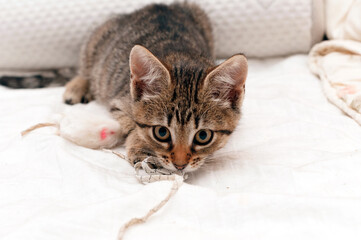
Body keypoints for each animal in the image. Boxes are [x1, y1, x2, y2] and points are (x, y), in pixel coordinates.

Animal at [63, 3, 246, 172]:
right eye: (162, 132)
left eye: (203, 135)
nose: (180, 165)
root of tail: (161, 6)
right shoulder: (119, 104)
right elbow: (133, 126)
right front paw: (140, 146)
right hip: (96, 45)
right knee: (86, 70)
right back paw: (76, 88)